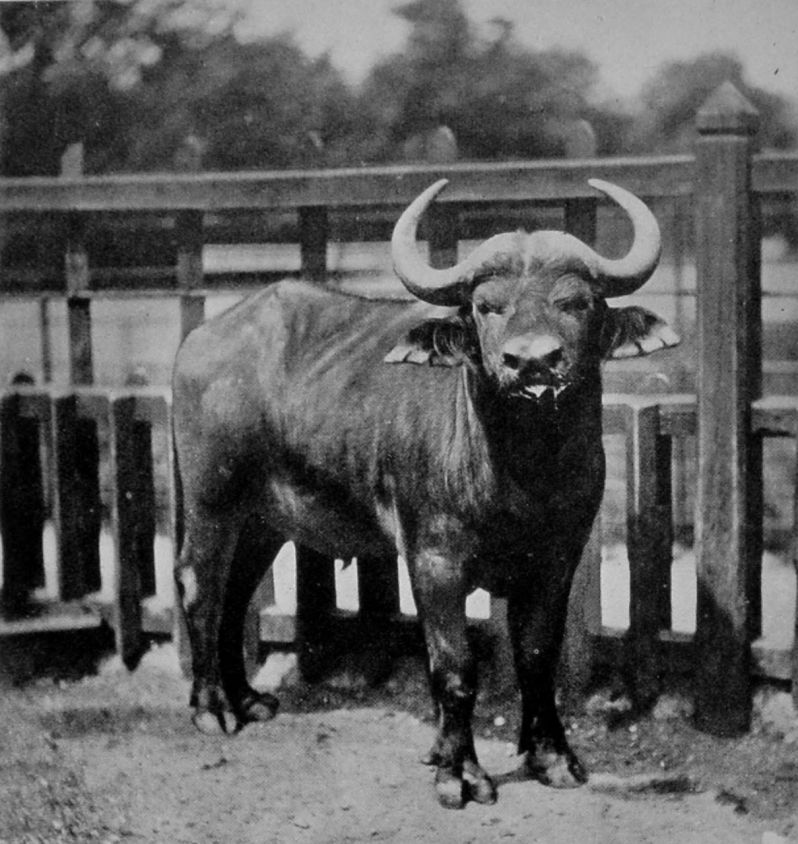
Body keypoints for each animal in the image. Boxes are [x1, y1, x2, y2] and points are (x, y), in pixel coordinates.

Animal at [172, 178, 678, 808]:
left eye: (576, 303)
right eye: (487, 306)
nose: (532, 362)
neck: (521, 473)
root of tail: (199, 341)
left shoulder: (558, 558)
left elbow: (539, 657)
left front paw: (552, 757)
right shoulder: (434, 561)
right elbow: (454, 667)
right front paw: (459, 774)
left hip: (264, 518)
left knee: (236, 593)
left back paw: (247, 699)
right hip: (213, 499)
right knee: (201, 586)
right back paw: (211, 708)